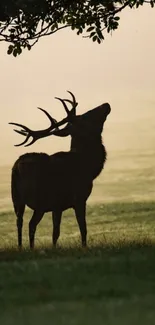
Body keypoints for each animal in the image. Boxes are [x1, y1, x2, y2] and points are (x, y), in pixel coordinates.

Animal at [9, 91, 111, 248]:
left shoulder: (59, 205)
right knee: (29, 224)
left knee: (22, 223)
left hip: (17, 198)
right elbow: (78, 229)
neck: (88, 167)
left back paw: (24, 248)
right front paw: (82, 247)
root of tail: (16, 168)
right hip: (41, 199)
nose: (105, 104)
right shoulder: (75, 199)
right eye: (85, 116)